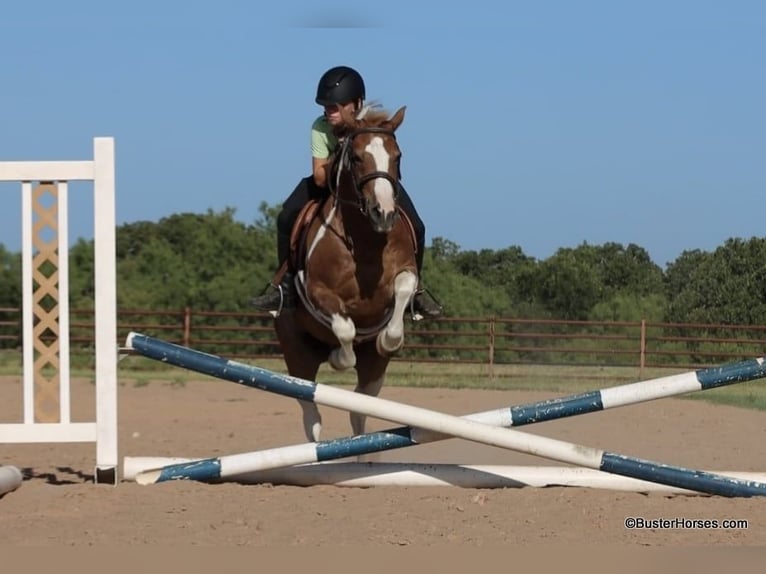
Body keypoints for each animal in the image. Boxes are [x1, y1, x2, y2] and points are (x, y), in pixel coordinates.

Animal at [274, 105, 418, 443]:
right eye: (355, 157)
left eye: (398, 156)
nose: (384, 214)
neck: (366, 241)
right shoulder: (317, 291)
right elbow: (345, 330)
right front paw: (339, 358)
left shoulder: (405, 272)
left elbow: (404, 290)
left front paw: (388, 339)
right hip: (297, 358)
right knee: (312, 416)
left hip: (374, 372)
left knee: (359, 410)